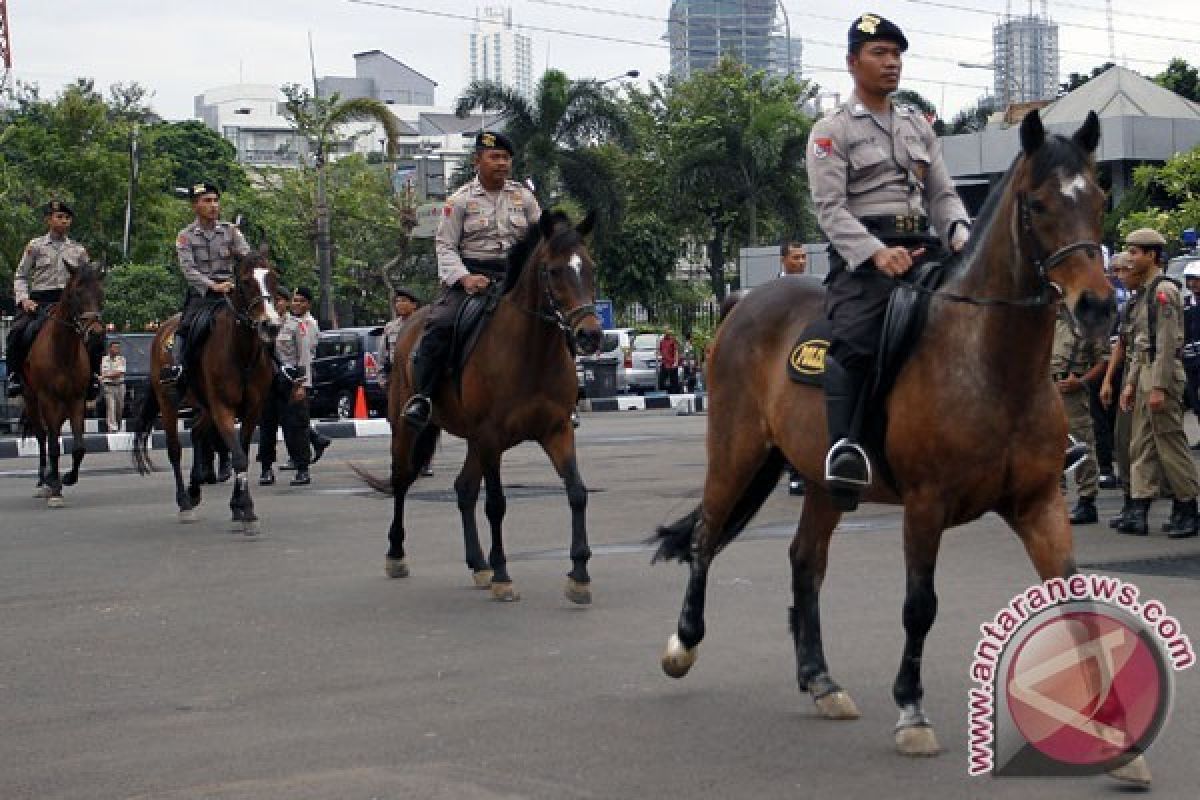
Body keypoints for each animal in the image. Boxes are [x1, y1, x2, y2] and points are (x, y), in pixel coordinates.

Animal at [20, 266, 103, 510]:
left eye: (101, 293)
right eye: (76, 294)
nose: (96, 333)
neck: (63, 351)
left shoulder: (77, 400)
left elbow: (78, 447)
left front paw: (68, 478)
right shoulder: (48, 399)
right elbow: (54, 446)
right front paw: (55, 488)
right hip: (32, 401)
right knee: (42, 437)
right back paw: (43, 479)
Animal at [131, 251, 280, 532]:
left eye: (273, 279)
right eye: (246, 282)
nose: (271, 325)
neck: (241, 353)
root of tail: (161, 330)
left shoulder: (252, 410)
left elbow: (241, 451)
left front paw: (237, 506)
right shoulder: (223, 407)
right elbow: (239, 456)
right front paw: (247, 509)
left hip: (205, 406)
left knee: (198, 432)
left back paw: (195, 489)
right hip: (169, 403)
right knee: (175, 449)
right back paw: (184, 502)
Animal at [352, 209, 600, 604]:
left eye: (589, 267)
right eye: (553, 271)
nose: (590, 335)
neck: (531, 352)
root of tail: (411, 322)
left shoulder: (556, 430)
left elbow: (577, 493)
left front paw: (578, 574)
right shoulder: (491, 436)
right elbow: (496, 504)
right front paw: (503, 575)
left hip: (474, 441)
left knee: (463, 488)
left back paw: (478, 563)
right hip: (408, 427)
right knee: (402, 480)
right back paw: (397, 554)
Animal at [657, 112, 1132, 767]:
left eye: (1101, 200)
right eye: (1037, 204)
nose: (1097, 307)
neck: (990, 362)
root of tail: (742, 300)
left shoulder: (1039, 503)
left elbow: (1075, 597)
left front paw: (1112, 730)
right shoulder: (926, 505)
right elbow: (919, 606)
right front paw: (911, 710)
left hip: (824, 480)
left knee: (804, 560)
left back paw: (821, 679)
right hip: (736, 451)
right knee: (706, 536)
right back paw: (684, 644)